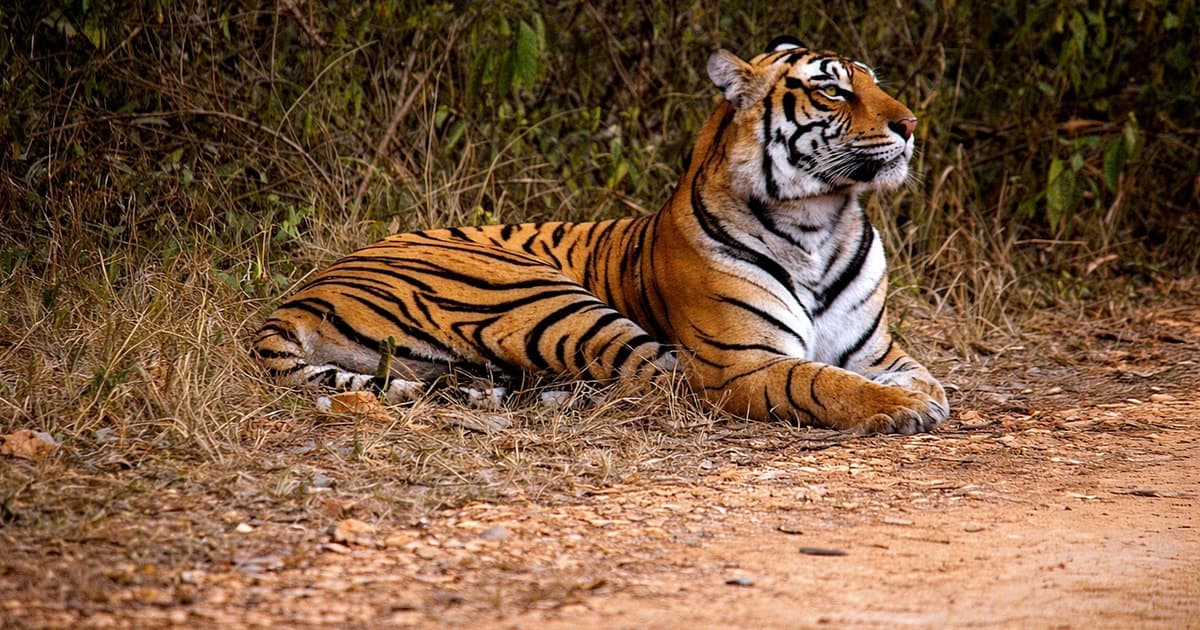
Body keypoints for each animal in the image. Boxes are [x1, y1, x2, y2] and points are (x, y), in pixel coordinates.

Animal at [253, 36, 950, 435]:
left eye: (876, 83)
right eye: (833, 90)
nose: (912, 123)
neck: (819, 222)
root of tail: (300, 295)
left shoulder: (878, 352)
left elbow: (921, 376)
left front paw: (923, 397)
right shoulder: (742, 361)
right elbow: (819, 379)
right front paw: (897, 410)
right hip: (545, 296)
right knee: (658, 380)